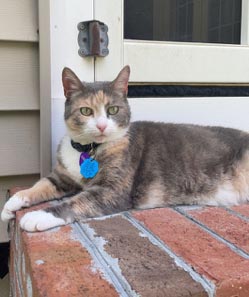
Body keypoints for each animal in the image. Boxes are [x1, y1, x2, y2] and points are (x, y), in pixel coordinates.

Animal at [1, 65, 249, 231]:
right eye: (85, 111)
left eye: (112, 109)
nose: (102, 125)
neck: (89, 150)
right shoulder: (63, 177)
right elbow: (41, 185)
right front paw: (11, 204)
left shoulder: (112, 190)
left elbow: (76, 201)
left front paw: (38, 216)